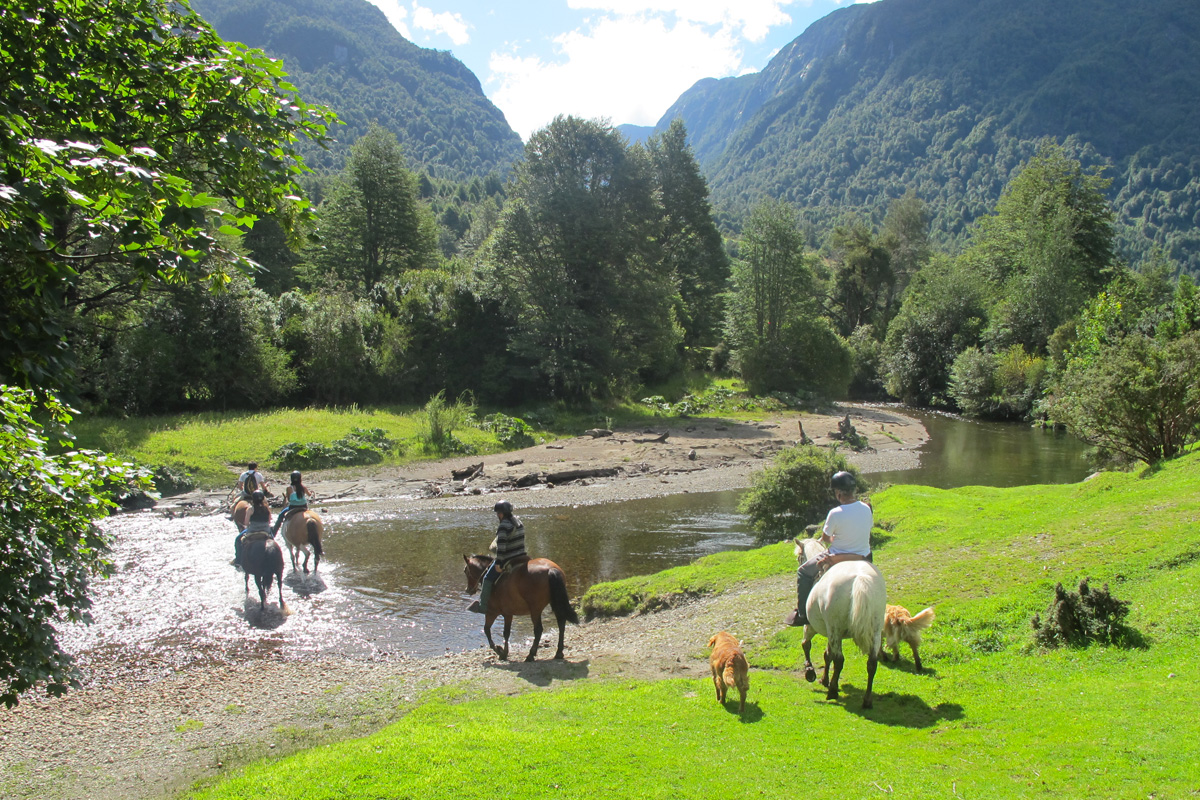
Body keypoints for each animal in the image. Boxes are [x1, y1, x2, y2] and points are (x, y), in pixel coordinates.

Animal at [792, 534, 888, 710]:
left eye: (799, 557)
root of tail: (860, 579)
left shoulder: (812, 625)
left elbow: (806, 644)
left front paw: (810, 672)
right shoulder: (830, 632)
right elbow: (827, 654)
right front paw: (824, 679)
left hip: (834, 628)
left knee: (839, 660)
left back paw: (833, 692)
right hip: (875, 629)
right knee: (872, 662)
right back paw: (867, 700)